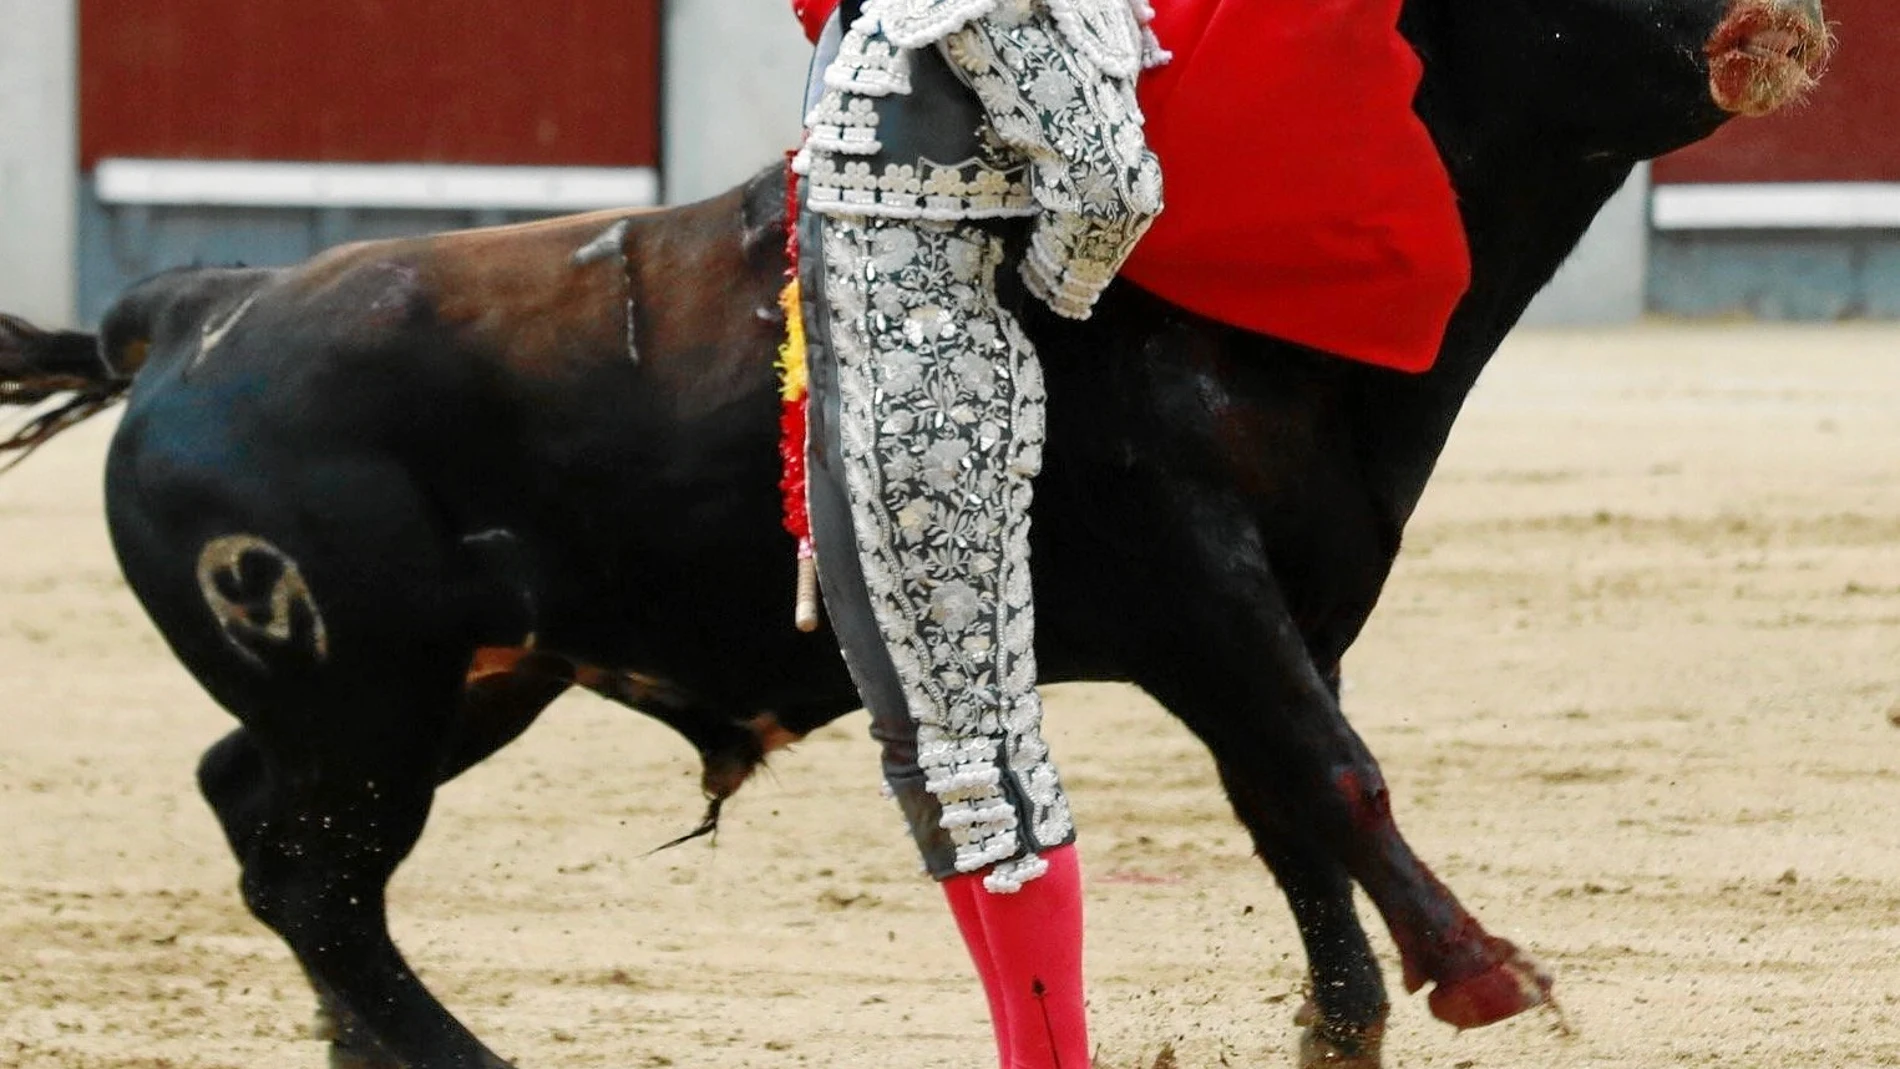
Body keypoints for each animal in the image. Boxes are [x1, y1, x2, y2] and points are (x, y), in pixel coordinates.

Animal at [0, 4, 1824, 1063]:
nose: (1786, 16)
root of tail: (188, 312)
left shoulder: (1297, 606)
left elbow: (1289, 800)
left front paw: (1346, 1022)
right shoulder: (1207, 586)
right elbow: (1333, 774)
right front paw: (1483, 972)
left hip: (464, 682)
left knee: (267, 824)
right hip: (370, 693)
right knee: (311, 868)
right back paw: (457, 1061)